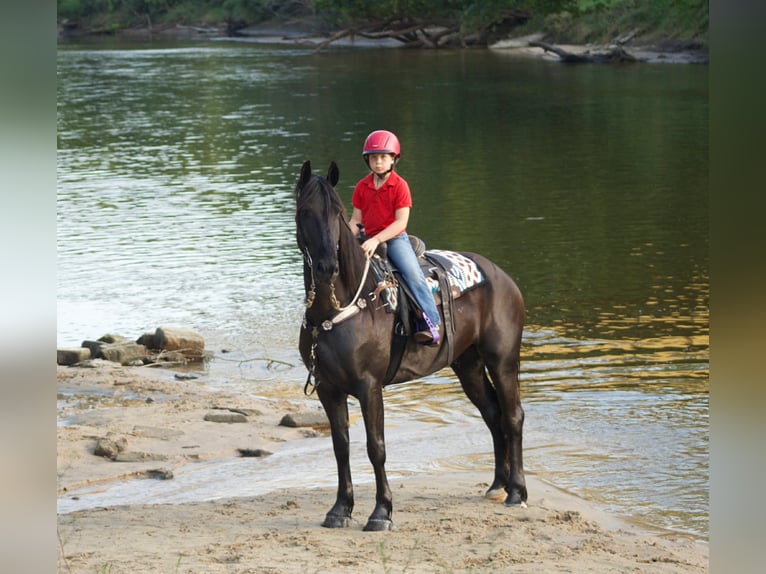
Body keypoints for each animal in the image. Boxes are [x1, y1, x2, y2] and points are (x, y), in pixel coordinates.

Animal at [294, 160, 527, 531]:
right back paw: (497, 485)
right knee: (493, 414)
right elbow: (340, 446)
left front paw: (380, 513)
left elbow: (376, 447)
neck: (335, 310)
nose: (328, 266)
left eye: (336, 212)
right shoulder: (328, 388)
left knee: (513, 416)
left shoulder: (369, 386)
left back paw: (516, 492)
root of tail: (502, 276)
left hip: (502, 360)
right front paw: (340, 508)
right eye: (305, 211)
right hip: (469, 365)